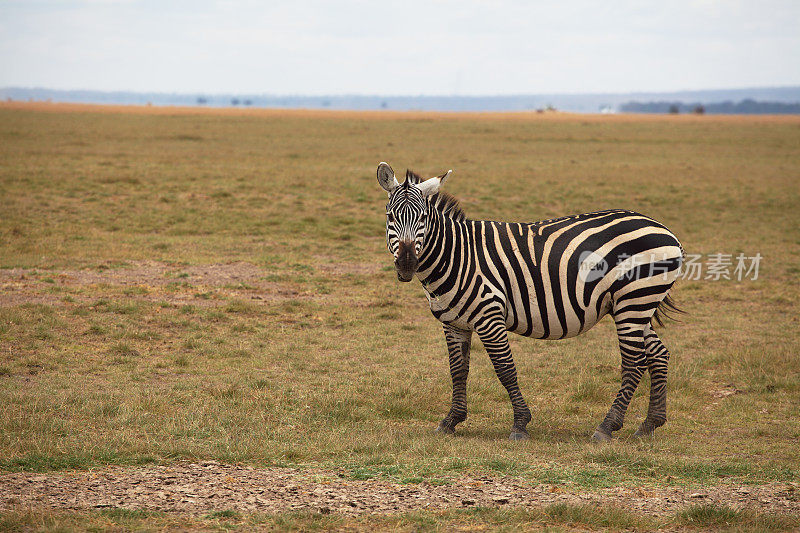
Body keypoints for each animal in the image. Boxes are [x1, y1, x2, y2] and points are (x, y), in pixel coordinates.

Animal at [378, 161, 684, 440]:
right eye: (391, 217)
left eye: (423, 218)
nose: (407, 264)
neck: (458, 255)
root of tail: (665, 229)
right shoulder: (454, 323)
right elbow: (458, 370)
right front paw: (452, 419)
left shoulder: (489, 317)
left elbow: (505, 369)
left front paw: (520, 424)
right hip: (636, 305)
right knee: (658, 354)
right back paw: (649, 425)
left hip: (633, 301)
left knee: (634, 361)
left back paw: (607, 426)